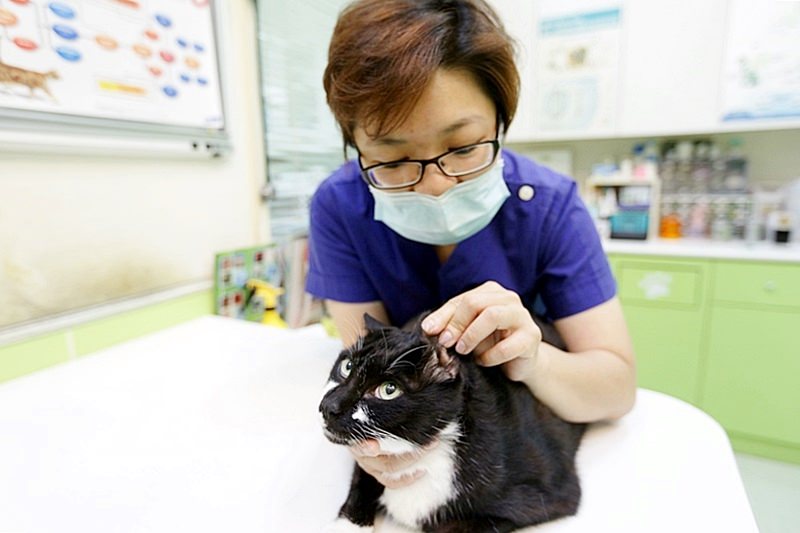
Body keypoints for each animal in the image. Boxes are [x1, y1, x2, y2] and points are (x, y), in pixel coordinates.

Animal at [318, 314, 588, 528]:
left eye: (389, 389)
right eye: (346, 366)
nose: (328, 407)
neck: (423, 457)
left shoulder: (548, 494)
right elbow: (361, 479)